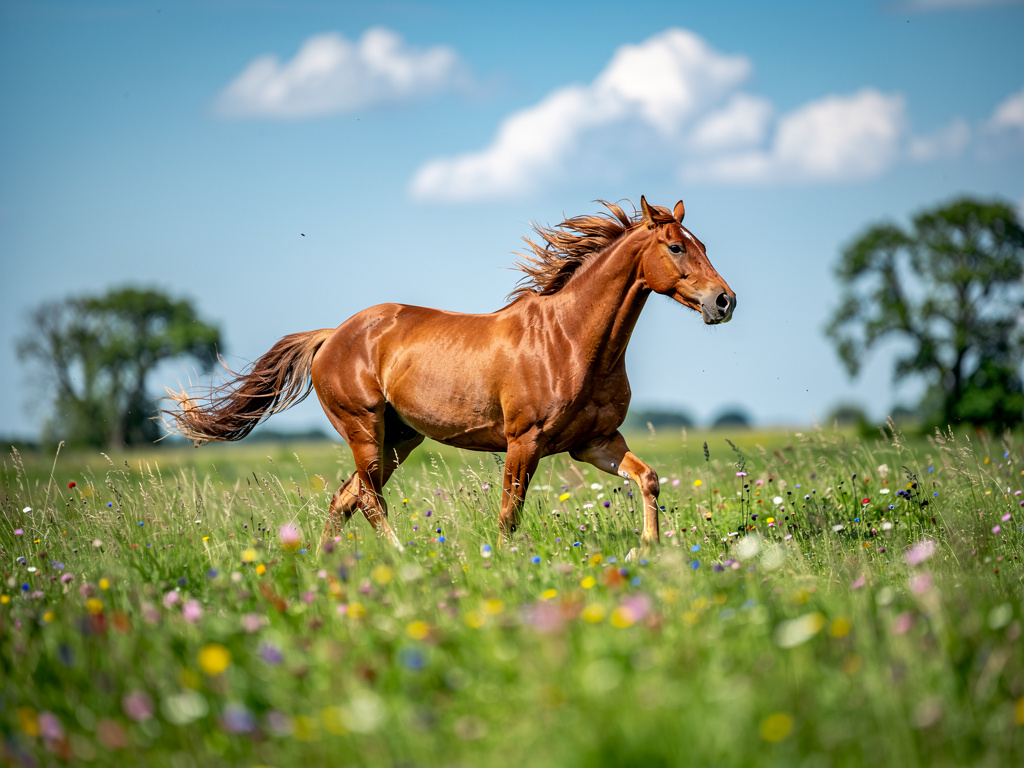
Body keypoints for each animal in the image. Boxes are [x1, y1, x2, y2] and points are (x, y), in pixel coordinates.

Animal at [163, 196, 735, 555]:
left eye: (704, 244)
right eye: (676, 247)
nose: (724, 301)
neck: (571, 341)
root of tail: (332, 335)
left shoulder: (594, 442)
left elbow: (649, 479)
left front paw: (649, 551)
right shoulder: (524, 442)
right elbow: (509, 514)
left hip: (400, 438)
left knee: (344, 499)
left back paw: (324, 565)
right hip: (365, 430)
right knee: (367, 500)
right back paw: (401, 560)